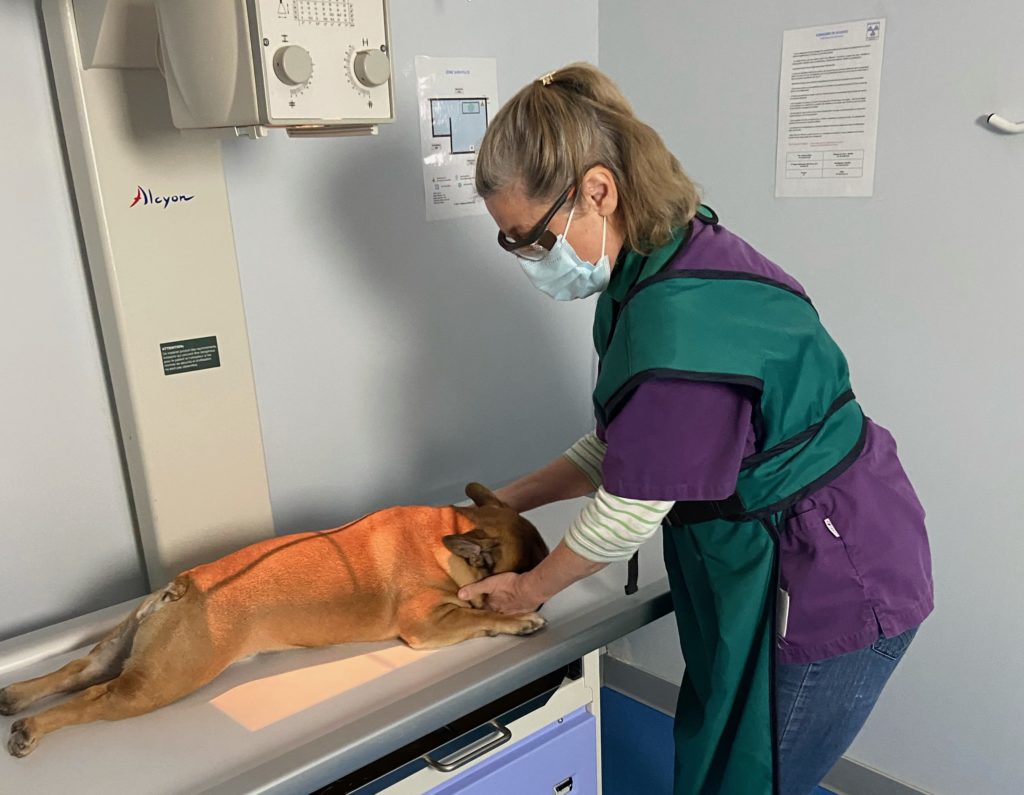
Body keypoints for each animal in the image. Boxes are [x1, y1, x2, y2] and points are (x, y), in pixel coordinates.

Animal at [0, 481, 548, 754]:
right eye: (532, 570)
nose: (541, 597)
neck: (449, 532)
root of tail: (184, 586)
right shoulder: (427, 623)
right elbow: (474, 619)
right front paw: (519, 620)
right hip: (156, 685)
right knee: (94, 698)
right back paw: (35, 728)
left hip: (128, 646)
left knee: (80, 669)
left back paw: (16, 696)